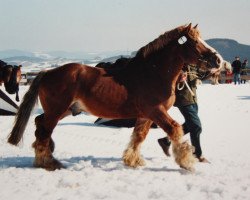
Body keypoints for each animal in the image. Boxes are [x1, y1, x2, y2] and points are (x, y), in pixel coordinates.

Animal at [7, 23, 223, 170]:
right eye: (194, 42)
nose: (218, 60)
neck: (152, 73)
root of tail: (47, 73)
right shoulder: (156, 111)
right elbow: (175, 129)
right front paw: (187, 162)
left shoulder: (145, 115)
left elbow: (139, 136)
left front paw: (133, 160)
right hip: (57, 110)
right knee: (44, 130)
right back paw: (49, 162)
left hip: (65, 110)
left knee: (39, 122)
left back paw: (44, 157)